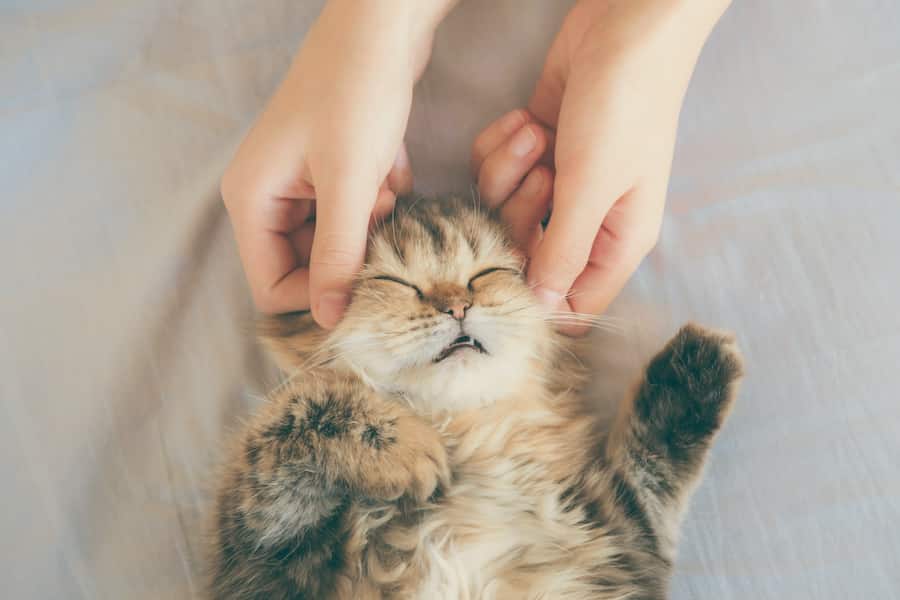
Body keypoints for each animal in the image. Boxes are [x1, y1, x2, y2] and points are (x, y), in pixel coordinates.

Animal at [207, 195, 740, 596]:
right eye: (394, 281)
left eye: (487, 274)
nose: (458, 307)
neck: (473, 439)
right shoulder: (260, 560)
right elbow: (293, 414)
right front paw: (408, 451)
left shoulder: (622, 539)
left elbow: (651, 465)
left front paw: (696, 367)